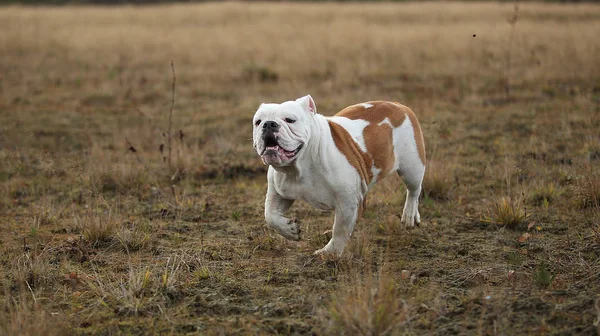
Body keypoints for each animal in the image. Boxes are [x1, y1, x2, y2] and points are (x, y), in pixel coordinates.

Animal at [253, 94, 426, 255]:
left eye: (290, 120)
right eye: (258, 122)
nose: (269, 124)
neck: (299, 166)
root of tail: (398, 106)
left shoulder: (347, 202)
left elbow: (340, 230)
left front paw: (329, 253)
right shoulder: (278, 193)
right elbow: (270, 215)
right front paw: (290, 230)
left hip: (412, 167)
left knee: (414, 190)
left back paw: (410, 214)